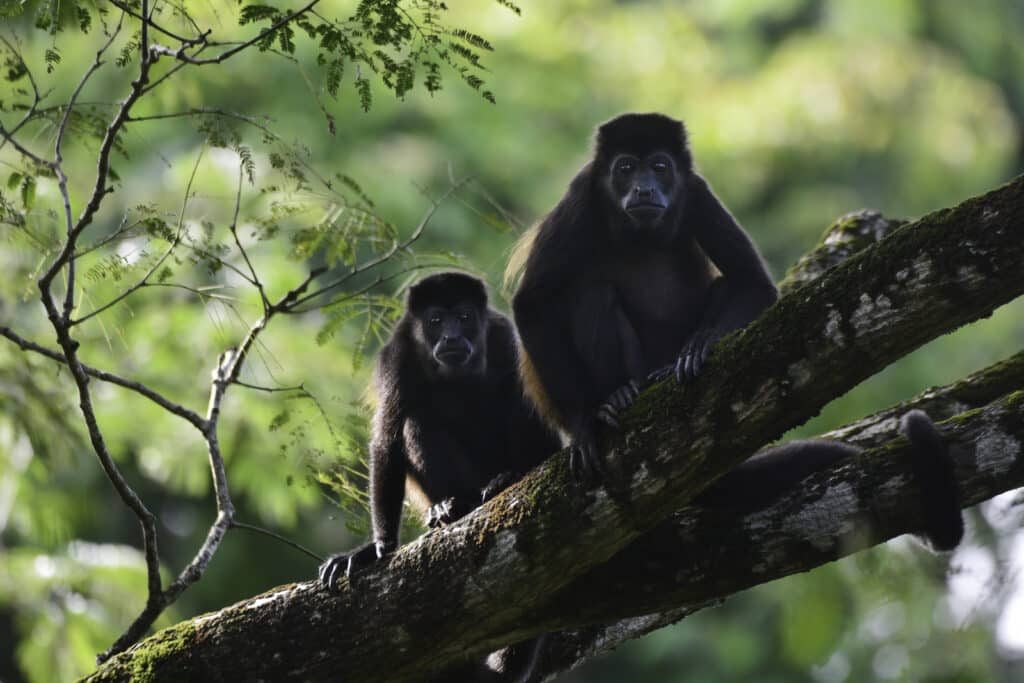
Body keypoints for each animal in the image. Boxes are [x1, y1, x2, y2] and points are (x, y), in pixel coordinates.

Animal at [318, 272, 559, 682]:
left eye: (463, 317)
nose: (450, 337)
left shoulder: (503, 338)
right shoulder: (396, 357)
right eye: (434, 320)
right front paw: (375, 549)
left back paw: (504, 480)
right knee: (416, 422)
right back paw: (452, 507)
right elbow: (387, 440)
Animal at [508, 112, 963, 550]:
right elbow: (531, 304)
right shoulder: (581, 195)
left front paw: (699, 348)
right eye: (625, 168)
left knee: (722, 285)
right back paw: (619, 395)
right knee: (592, 292)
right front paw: (584, 421)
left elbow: (751, 282)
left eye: (659, 167)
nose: (643, 188)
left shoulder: (697, 191)